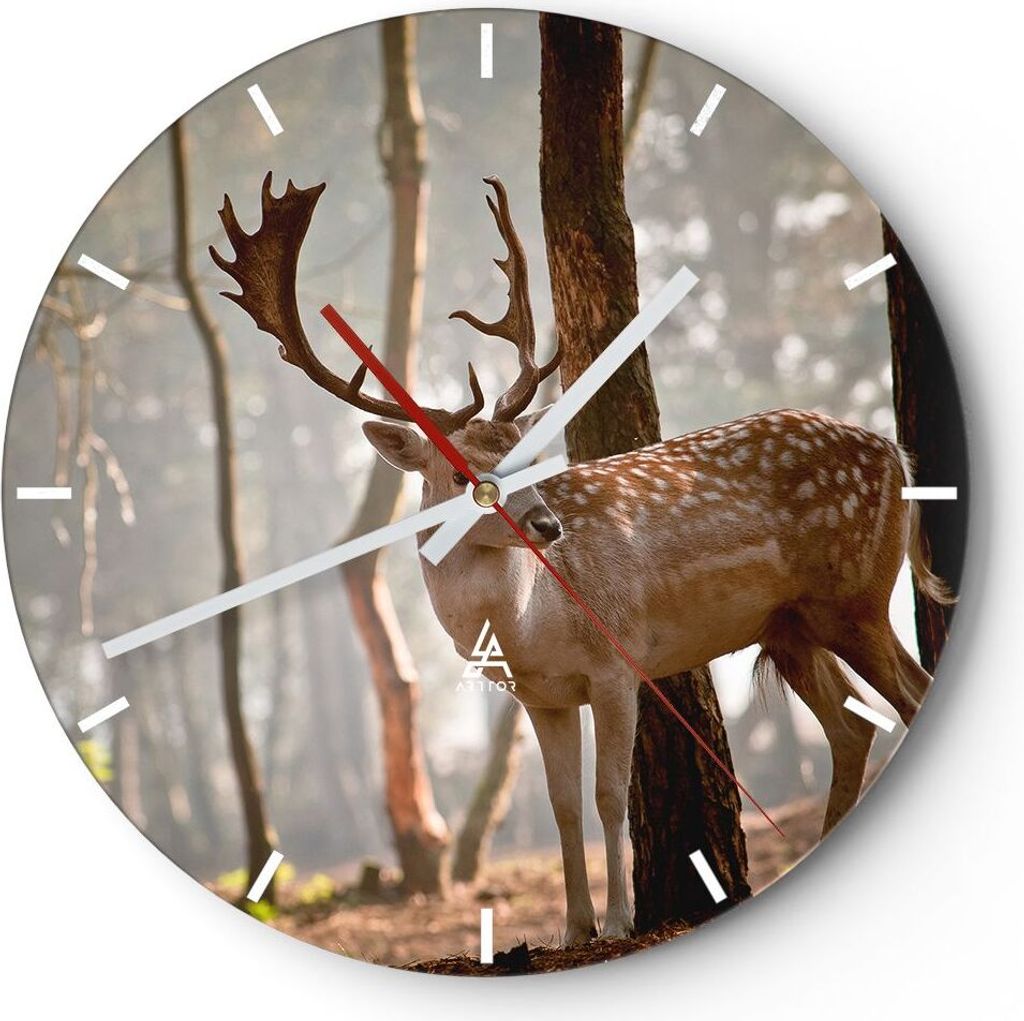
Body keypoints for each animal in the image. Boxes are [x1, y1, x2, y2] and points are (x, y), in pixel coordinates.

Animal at [211, 172, 953, 946]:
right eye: (460, 474)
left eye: (527, 455)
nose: (547, 524)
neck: (528, 628)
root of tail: (896, 453)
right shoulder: (542, 696)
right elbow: (561, 802)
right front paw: (573, 928)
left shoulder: (617, 661)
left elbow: (607, 794)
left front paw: (621, 920)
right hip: (790, 625)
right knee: (850, 727)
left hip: (853, 595)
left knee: (909, 692)